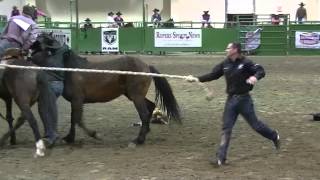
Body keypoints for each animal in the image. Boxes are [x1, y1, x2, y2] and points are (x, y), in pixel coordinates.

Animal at [31, 33, 182, 146]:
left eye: (40, 43)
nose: (29, 52)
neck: (71, 69)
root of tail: (146, 66)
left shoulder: (77, 100)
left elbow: (78, 120)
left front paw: (95, 134)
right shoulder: (75, 102)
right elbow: (73, 119)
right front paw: (69, 138)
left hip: (136, 96)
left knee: (144, 114)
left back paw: (138, 140)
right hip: (132, 95)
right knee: (150, 107)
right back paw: (144, 134)